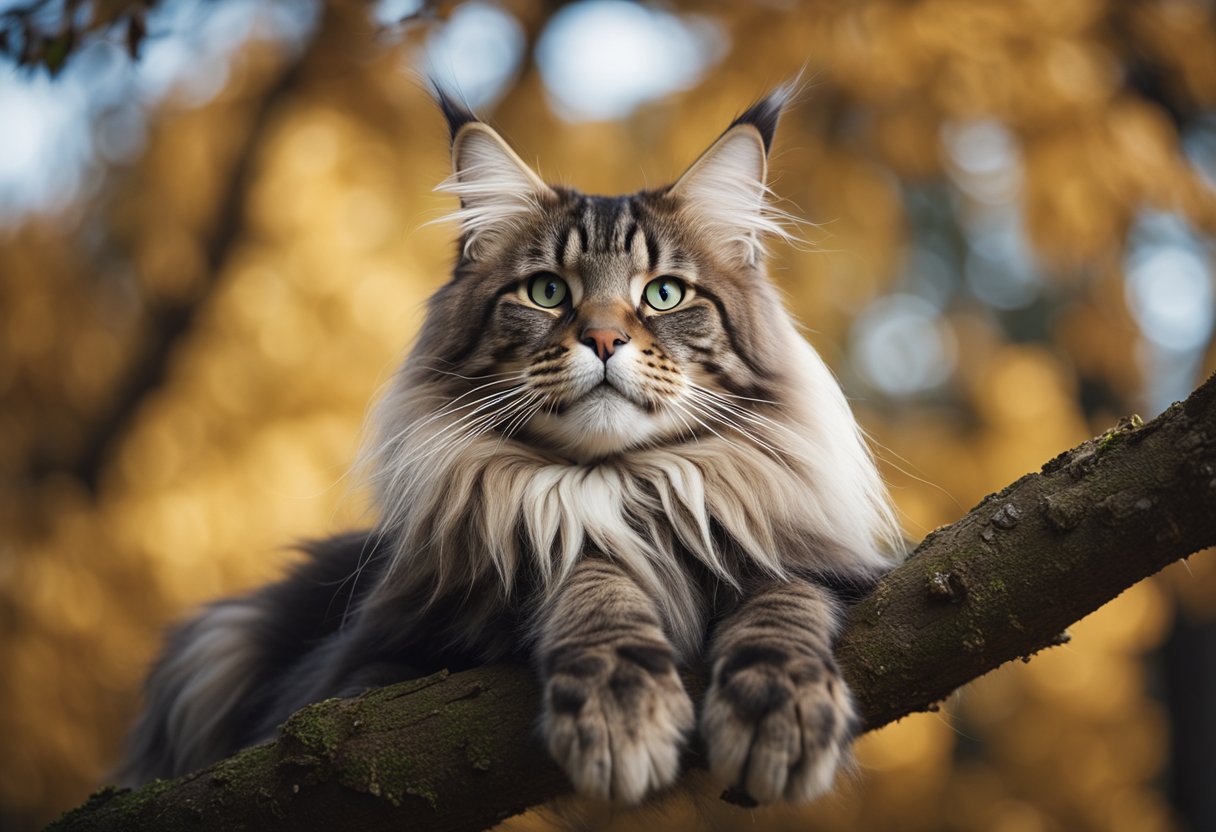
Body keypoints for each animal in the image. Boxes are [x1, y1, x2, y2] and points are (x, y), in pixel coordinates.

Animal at [123, 86, 904, 807]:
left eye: (664, 295)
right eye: (548, 291)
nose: (604, 339)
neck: (622, 485)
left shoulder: (818, 564)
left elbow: (783, 598)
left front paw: (782, 709)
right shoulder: (358, 680)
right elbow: (582, 569)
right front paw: (620, 709)